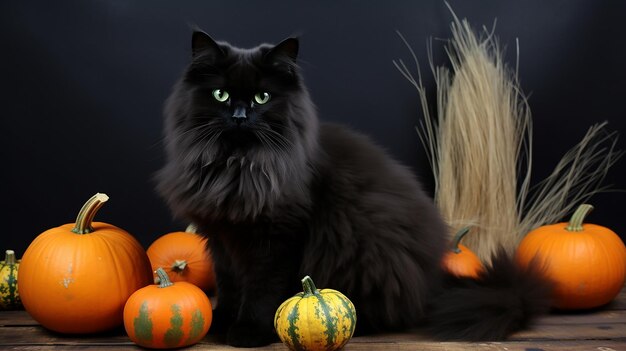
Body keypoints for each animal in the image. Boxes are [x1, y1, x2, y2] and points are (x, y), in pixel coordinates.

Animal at [157, 31, 552, 348]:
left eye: (262, 97)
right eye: (221, 95)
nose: (240, 115)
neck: (238, 167)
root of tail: (432, 281)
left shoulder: (276, 239)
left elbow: (260, 290)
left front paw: (248, 332)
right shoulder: (222, 237)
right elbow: (229, 286)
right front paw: (220, 322)